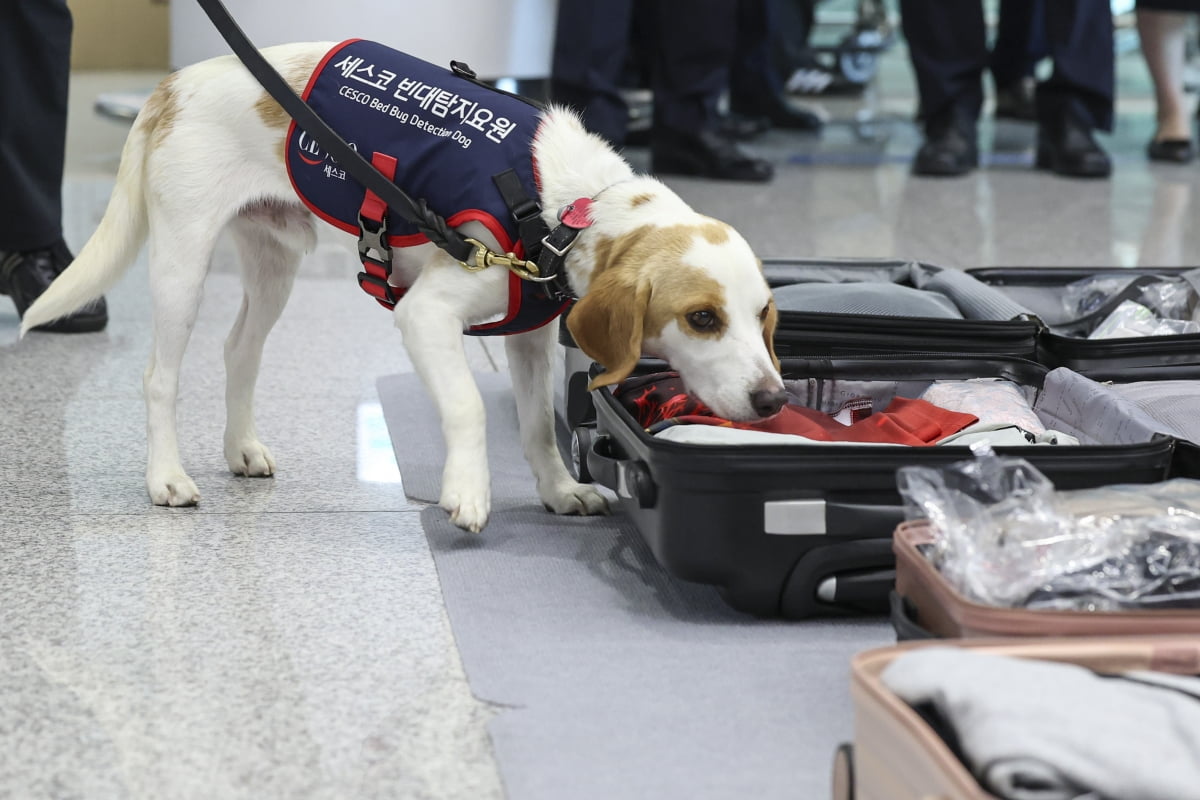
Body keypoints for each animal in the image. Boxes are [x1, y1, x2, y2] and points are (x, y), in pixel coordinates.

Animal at [23, 42, 787, 532]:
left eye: (762, 317)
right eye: (702, 319)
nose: (774, 401)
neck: (566, 212)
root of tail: (171, 85)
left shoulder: (531, 336)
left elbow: (537, 427)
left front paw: (559, 490)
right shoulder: (426, 316)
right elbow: (469, 409)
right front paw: (467, 491)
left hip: (274, 264)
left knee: (239, 350)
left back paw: (241, 449)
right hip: (182, 261)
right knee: (160, 377)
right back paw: (166, 479)